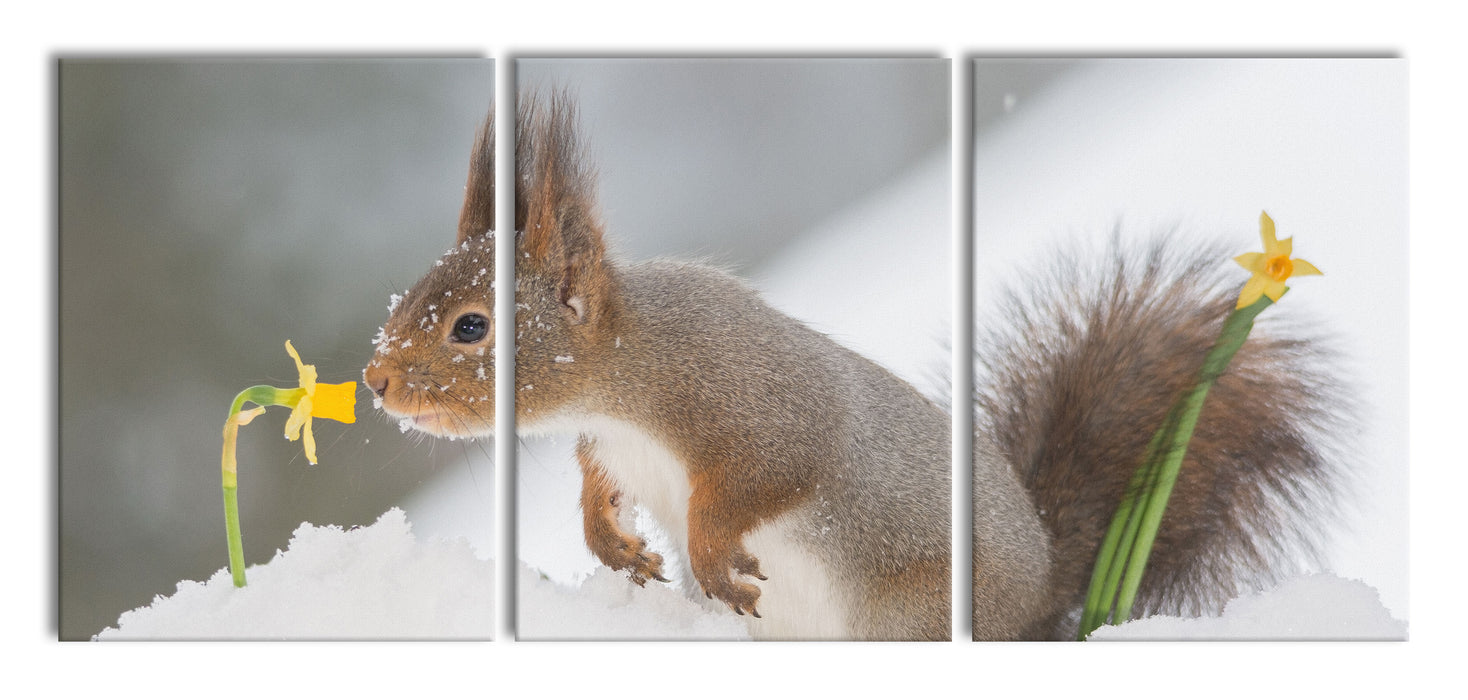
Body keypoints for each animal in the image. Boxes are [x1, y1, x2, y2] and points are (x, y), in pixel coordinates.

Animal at [364, 92, 1344, 639]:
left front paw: (711, 554)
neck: (626, 377)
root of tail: (1038, 608)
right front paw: (616, 545)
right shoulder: (611, 445)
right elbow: (599, 487)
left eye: (471, 328)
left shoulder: (756, 403)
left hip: (915, 615)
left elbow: (769, 476)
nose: (375, 382)